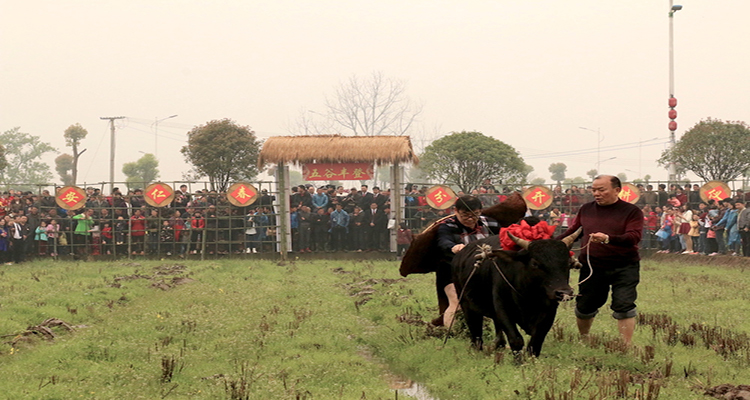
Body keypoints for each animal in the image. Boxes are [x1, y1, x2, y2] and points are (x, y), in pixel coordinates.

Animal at [451, 228, 582, 357]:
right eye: (535, 263)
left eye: (568, 262)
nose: (564, 292)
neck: (530, 297)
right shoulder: (502, 308)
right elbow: (516, 339)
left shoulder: (549, 311)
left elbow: (536, 342)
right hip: (466, 305)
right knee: (476, 333)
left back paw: (499, 344)